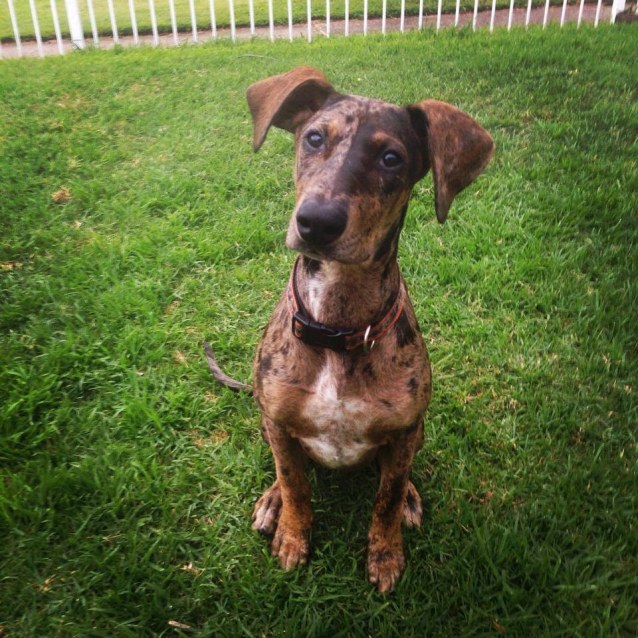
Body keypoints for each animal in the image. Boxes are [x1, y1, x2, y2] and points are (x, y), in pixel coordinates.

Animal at [205, 66, 496, 596]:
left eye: (391, 158)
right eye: (314, 138)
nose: (316, 222)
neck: (337, 328)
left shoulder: (403, 432)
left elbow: (386, 497)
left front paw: (385, 554)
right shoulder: (278, 422)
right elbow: (296, 483)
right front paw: (292, 534)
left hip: (418, 433)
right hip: (265, 421)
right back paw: (271, 501)